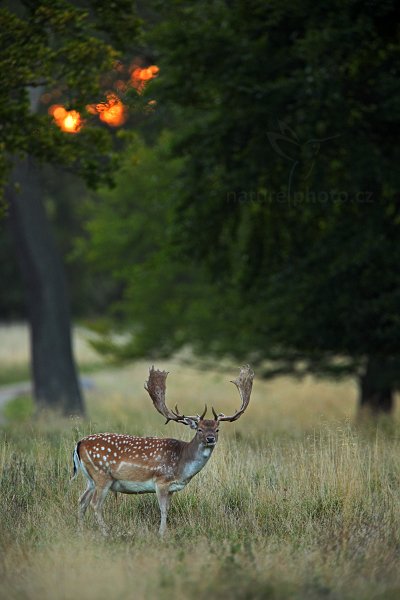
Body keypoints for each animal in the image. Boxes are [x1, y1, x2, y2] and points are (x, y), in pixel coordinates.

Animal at [71, 364, 253, 536]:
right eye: (199, 429)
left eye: (217, 429)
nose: (210, 439)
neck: (181, 465)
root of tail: (79, 443)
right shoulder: (161, 481)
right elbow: (163, 510)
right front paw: (161, 534)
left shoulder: (171, 488)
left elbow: (168, 509)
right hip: (102, 475)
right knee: (95, 504)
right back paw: (106, 533)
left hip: (91, 479)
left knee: (82, 500)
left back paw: (80, 531)